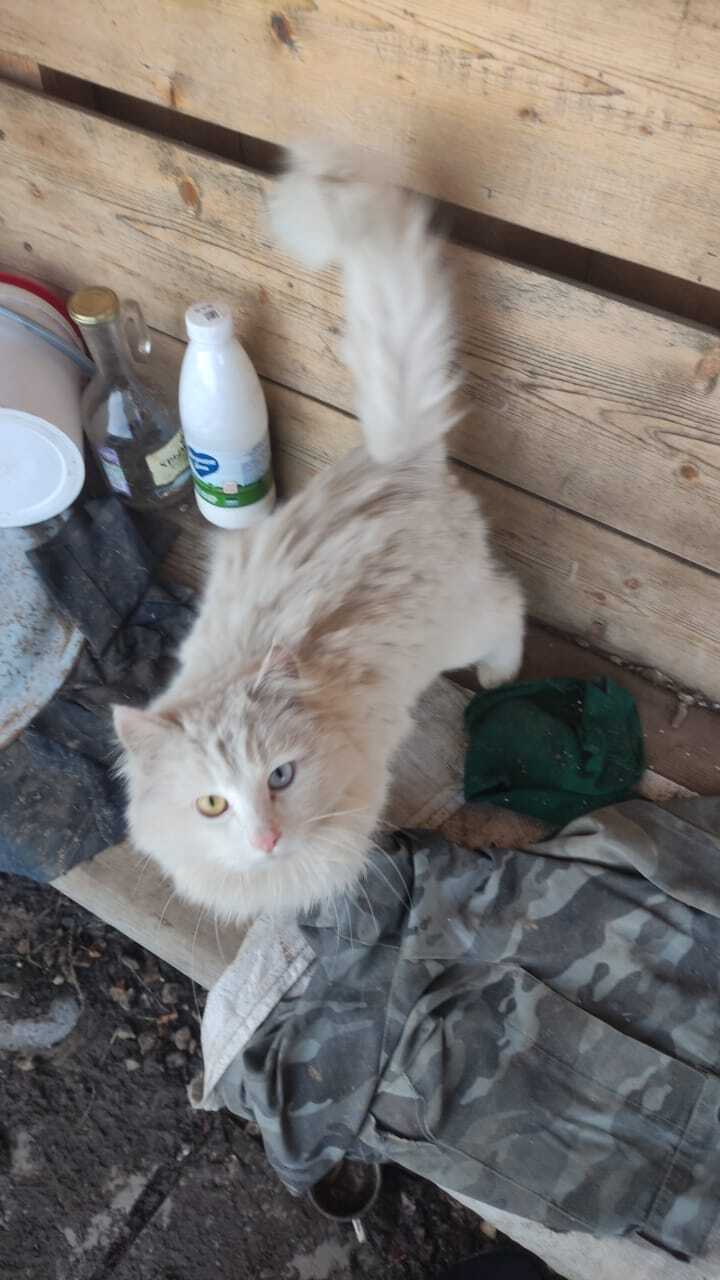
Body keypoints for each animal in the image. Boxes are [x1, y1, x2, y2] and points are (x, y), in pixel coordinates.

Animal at [114, 142, 525, 921]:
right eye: (212, 805)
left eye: (281, 777)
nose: (266, 839)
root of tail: (396, 457)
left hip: (461, 621)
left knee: (511, 604)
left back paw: (500, 673)